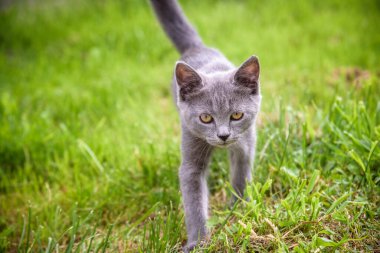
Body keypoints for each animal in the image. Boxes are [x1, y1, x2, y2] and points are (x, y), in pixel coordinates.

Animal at [149, 0, 262, 251]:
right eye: (206, 118)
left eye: (237, 115)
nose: (223, 135)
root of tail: (197, 47)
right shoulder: (191, 149)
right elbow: (194, 200)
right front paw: (198, 241)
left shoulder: (246, 143)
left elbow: (241, 174)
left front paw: (238, 207)